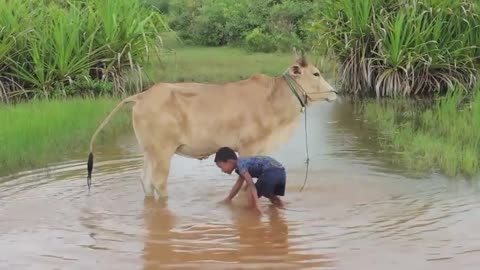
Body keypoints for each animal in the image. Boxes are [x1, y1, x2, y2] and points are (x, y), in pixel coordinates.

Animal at [88, 50, 340, 198]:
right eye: (316, 73)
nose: (335, 92)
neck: (273, 98)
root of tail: (142, 95)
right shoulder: (248, 148)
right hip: (162, 153)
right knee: (159, 183)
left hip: (149, 152)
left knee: (146, 181)